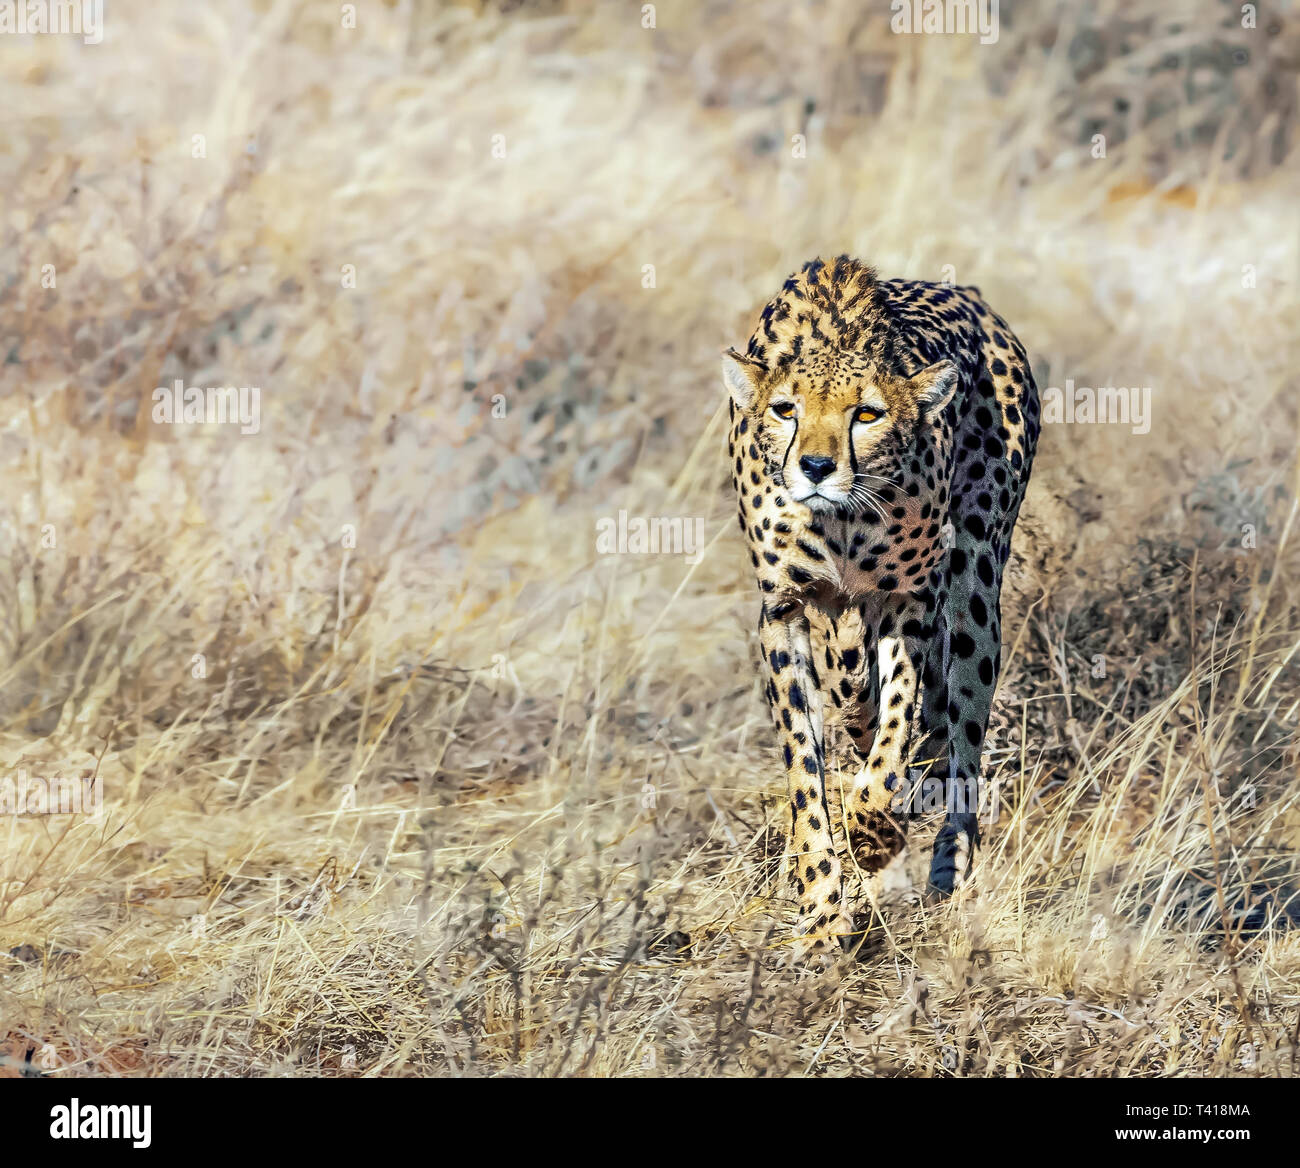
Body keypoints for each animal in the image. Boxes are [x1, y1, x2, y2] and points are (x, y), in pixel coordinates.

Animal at [728, 254, 1040, 957]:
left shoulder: (909, 599)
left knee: (960, 735)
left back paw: (949, 858)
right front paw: (822, 913)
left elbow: (897, 725)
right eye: (785, 410)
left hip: (976, 577)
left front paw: (873, 833)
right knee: (860, 699)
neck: (840, 521)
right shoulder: (783, 611)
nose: (815, 466)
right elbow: (805, 766)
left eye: (866, 414)